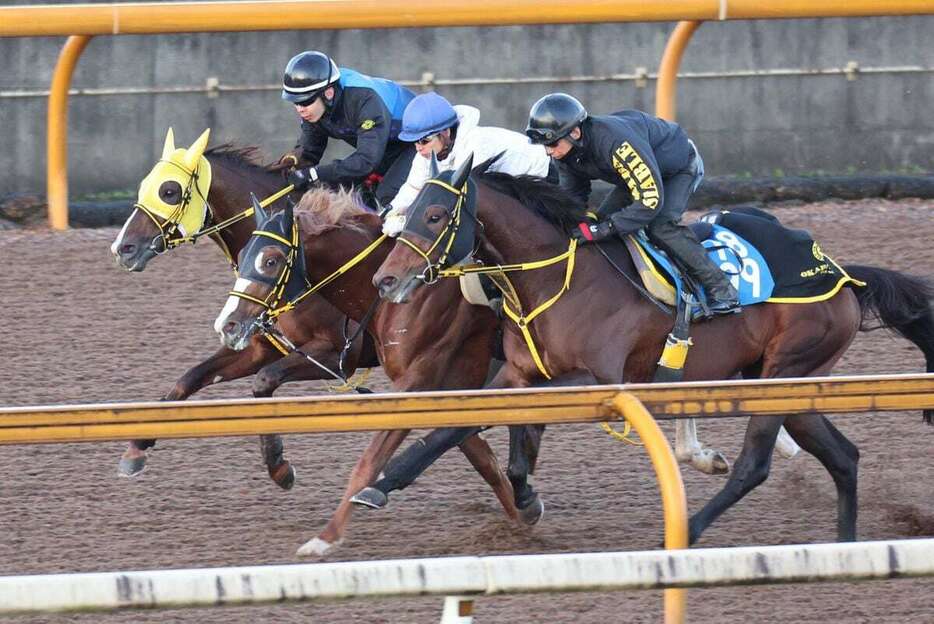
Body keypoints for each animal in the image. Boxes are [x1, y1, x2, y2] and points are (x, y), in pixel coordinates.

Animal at [111, 128, 382, 488]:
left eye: (169, 191)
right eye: (144, 185)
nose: (122, 248)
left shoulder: (339, 356)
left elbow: (265, 380)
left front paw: (279, 466)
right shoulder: (260, 345)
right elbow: (191, 378)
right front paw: (137, 447)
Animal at [212, 185, 528, 556]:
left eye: (271, 259)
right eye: (244, 252)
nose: (227, 325)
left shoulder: (392, 373)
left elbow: (373, 458)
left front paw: (326, 535)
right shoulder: (441, 384)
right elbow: (477, 453)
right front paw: (522, 514)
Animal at [372, 154, 934, 544]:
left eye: (436, 214)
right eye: (409, 208)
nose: (385, 280)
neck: (556, 277)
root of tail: (842, 274)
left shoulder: (598, 380)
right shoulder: (519, 373)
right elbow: (463, 424)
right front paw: (385, 483)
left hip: (787, 371)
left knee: (756, 465)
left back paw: (688, 529)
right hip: (786, 383)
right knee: (843, 456)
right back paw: (844, 546)